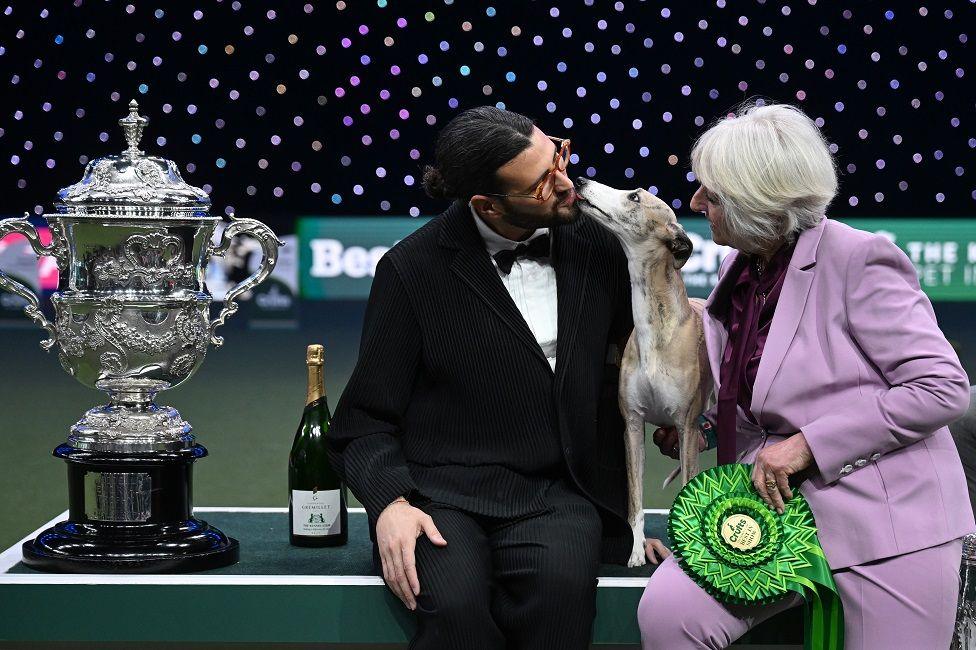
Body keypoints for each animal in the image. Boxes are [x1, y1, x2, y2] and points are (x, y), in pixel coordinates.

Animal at [576, 178, 712, 568]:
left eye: (634, 196)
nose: (580, 181)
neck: (658, 332)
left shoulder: (686, 427)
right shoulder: (633, 426)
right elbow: (634, 501)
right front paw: (636, 550)